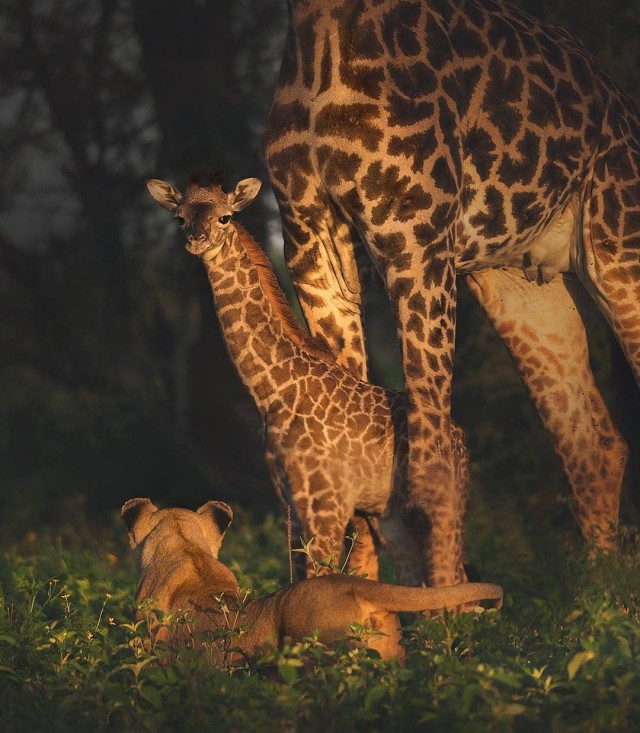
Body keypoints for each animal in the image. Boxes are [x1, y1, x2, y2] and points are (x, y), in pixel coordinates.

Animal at [148, 170, 472, 584]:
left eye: (225, 217)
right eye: (180, 218)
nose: (196, 240)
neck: (272, 391)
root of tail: (463, 444)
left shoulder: (326, 503)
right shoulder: (290, 500)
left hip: (439, 510)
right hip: (393, 517)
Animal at [264, 0, 636, 584]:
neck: (319, 31)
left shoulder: (417, 246)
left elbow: (431, 463)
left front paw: (445, 606)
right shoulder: (314, 253)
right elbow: (346, 447)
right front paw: (353, 603)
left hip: (615, 243)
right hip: (523, 284)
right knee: (591, 443)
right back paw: (602, 599)